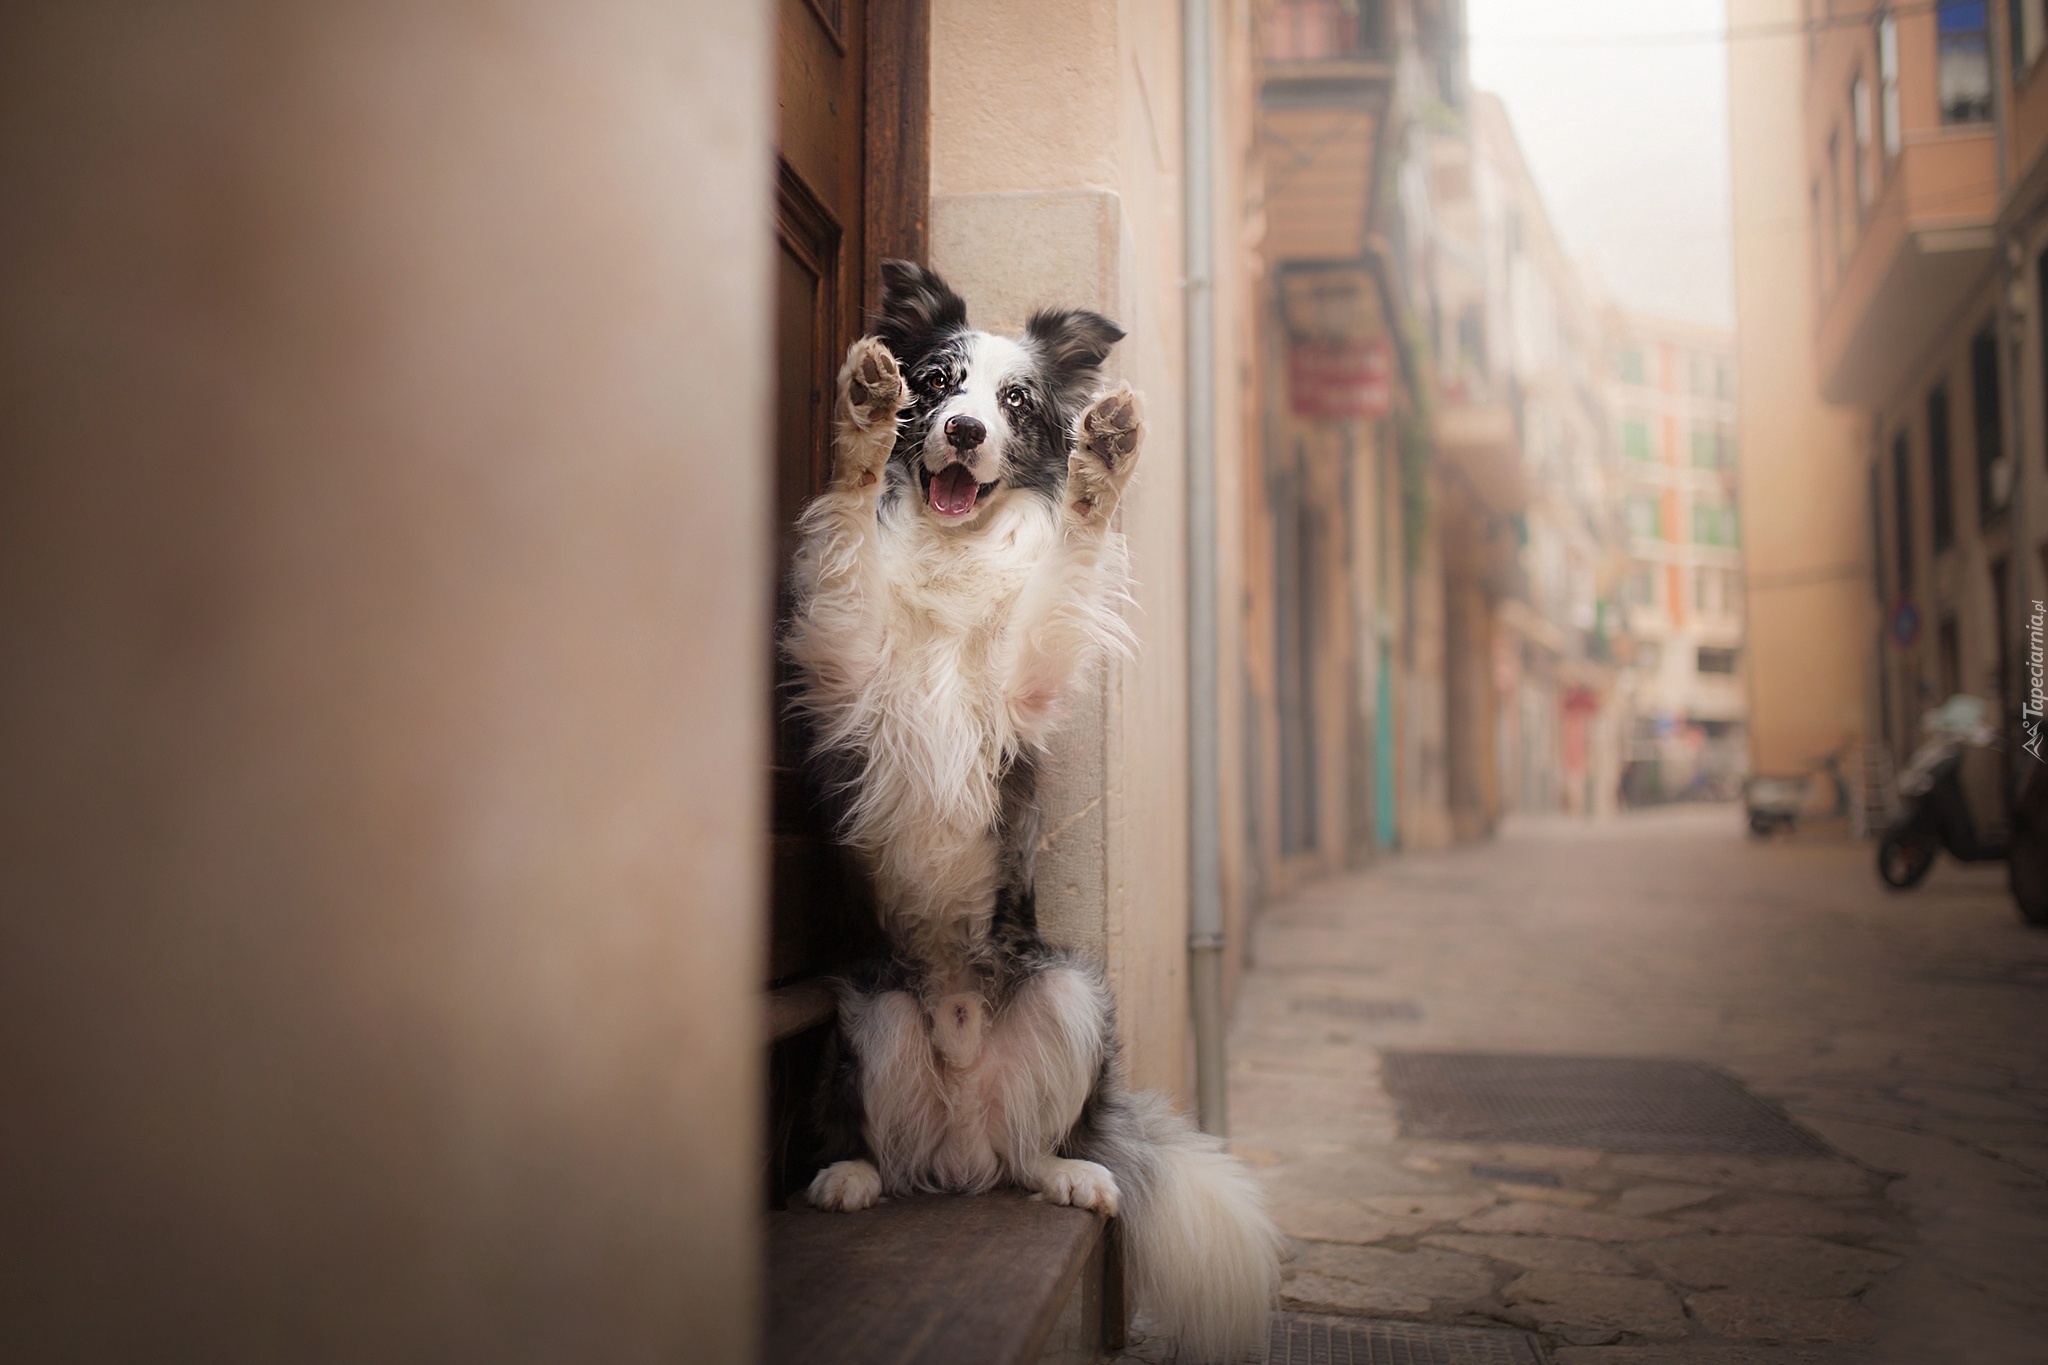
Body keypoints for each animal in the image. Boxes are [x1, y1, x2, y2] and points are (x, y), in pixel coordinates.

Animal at [782, 258, 1277, 1365]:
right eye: (936, 381)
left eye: (1016, 403)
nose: (962, 431)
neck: (953, 545)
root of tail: (961, 1137)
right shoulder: (850, 665)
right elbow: (847, 523)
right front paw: (862, 415)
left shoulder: (1022, 689)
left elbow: (1068, 563)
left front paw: (1106, 460)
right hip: (869, 1013)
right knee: (872, 1143)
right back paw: (847, 1178)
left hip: (1070, 992)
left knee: (1034, 1150)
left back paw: (1071, 1172)